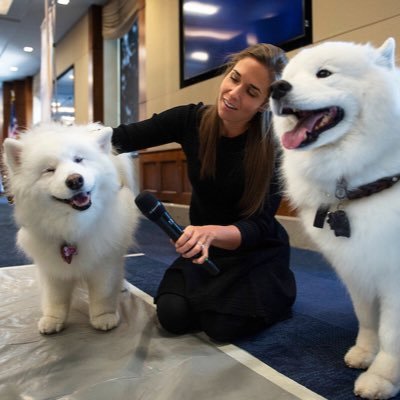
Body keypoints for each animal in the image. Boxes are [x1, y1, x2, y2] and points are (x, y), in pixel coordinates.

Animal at [2, 124, 138, 334]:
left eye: (79, 160)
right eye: (49, 170)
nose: (75, 180)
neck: (72, 224)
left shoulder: (105, 260)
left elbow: (103, 293)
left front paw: (104, 318)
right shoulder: (52, 266)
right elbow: (55, 298)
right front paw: (52, 320)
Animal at [270, 38, 400, 400]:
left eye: (324, 73)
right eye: (288, 77)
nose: (276, 88)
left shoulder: (393, 275)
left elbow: (391, 333)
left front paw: (382, 378)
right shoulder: (357, 267)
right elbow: (367, 319)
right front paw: (364, 353)